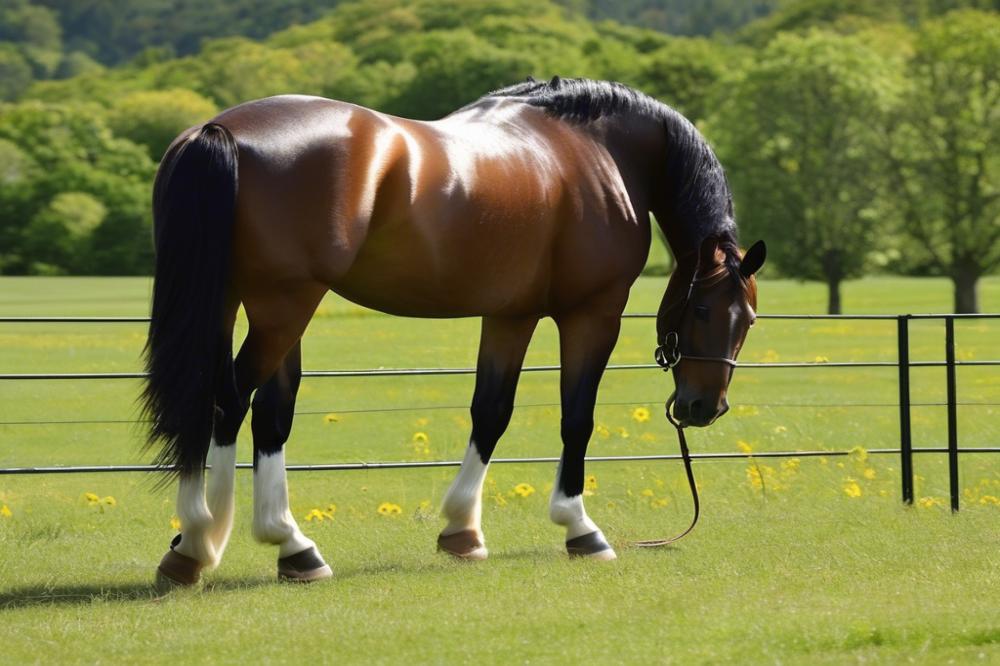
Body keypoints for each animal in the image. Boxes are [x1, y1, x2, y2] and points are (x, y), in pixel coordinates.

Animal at [143, 78, 764, 588]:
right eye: (706, 310)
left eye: (750, 321)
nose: (705, 407)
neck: (599, 151)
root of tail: (220, 131)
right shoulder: (592, 314)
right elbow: (577, 419)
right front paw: (579, 528)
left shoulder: (511, 314)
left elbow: (491, 412)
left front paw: (462, 532)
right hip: (284, 305)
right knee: (226, 401)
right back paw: (207, 542)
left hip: (245, 303)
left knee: (262, 413)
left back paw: (278, 549)